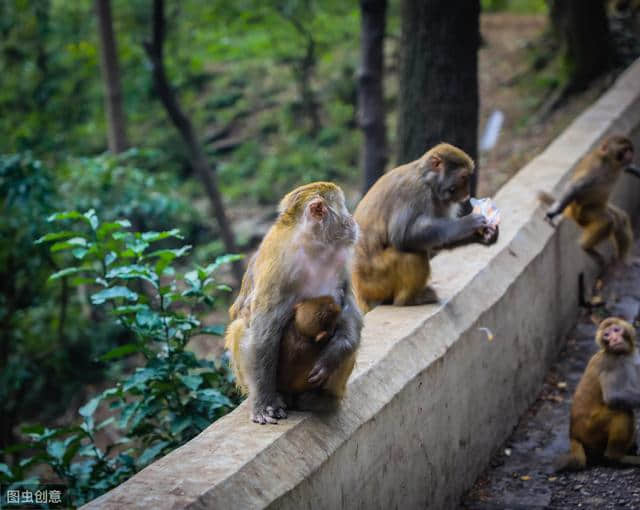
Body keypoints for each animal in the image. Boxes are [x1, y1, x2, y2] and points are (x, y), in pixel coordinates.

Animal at [226, 181, 364, 424]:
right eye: (344, 207)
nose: (352, 220)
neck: (313, 246)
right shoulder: (278, 269)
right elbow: (263, 332)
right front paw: (264, 403)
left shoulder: (341, 259)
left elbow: (348, 309)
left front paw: (333, 355)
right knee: (241, 328)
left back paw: (323, 399)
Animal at [352, 141, 498, 312]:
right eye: (463, 177)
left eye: (468, 177)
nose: (467, 194)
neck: (428, 181)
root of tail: (359, 291)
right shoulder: (413, 191)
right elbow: (404, 236)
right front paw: (470, 222)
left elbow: (438, 240)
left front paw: (486, 236)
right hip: (375, 280)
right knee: (412, 253)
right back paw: (407, 300)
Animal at [536, 133, 636, 264]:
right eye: (624, 150)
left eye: (630, 149)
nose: (630, 155)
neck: (610, 164)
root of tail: (570, 210)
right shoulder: (596, 170)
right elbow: (574, 188)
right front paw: (554, 212)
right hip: (581, 215)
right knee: (608, 220)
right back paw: (586, 247)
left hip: (600, 206)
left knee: (620, 218)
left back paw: (622, 259)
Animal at [556, 316, 640, 472]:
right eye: (607, 335)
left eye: (616, 330)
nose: (614, 339)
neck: (625, 354)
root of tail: (573, 434)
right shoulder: (612, 363)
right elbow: (613, 397)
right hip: (591, 430)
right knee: (622, 411)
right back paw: (616, 458)